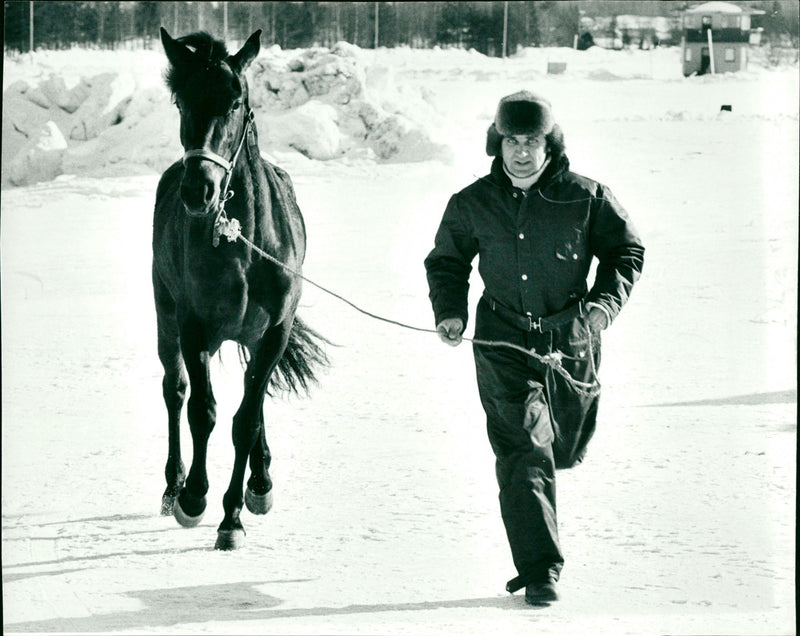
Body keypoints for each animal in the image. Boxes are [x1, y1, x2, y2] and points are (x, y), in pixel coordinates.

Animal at [152, 27, 326, 548]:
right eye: (182, 100)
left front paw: (233, 515)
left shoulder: (275, 331)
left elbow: (246, 419)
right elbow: (202, 411)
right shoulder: (193, 326)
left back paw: (260, 481)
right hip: (165, 316)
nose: (199, 190)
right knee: (175, 391)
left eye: (235, 102)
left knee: (254, 394)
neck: (243, 241)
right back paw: (173, 486)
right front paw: (194, 497)